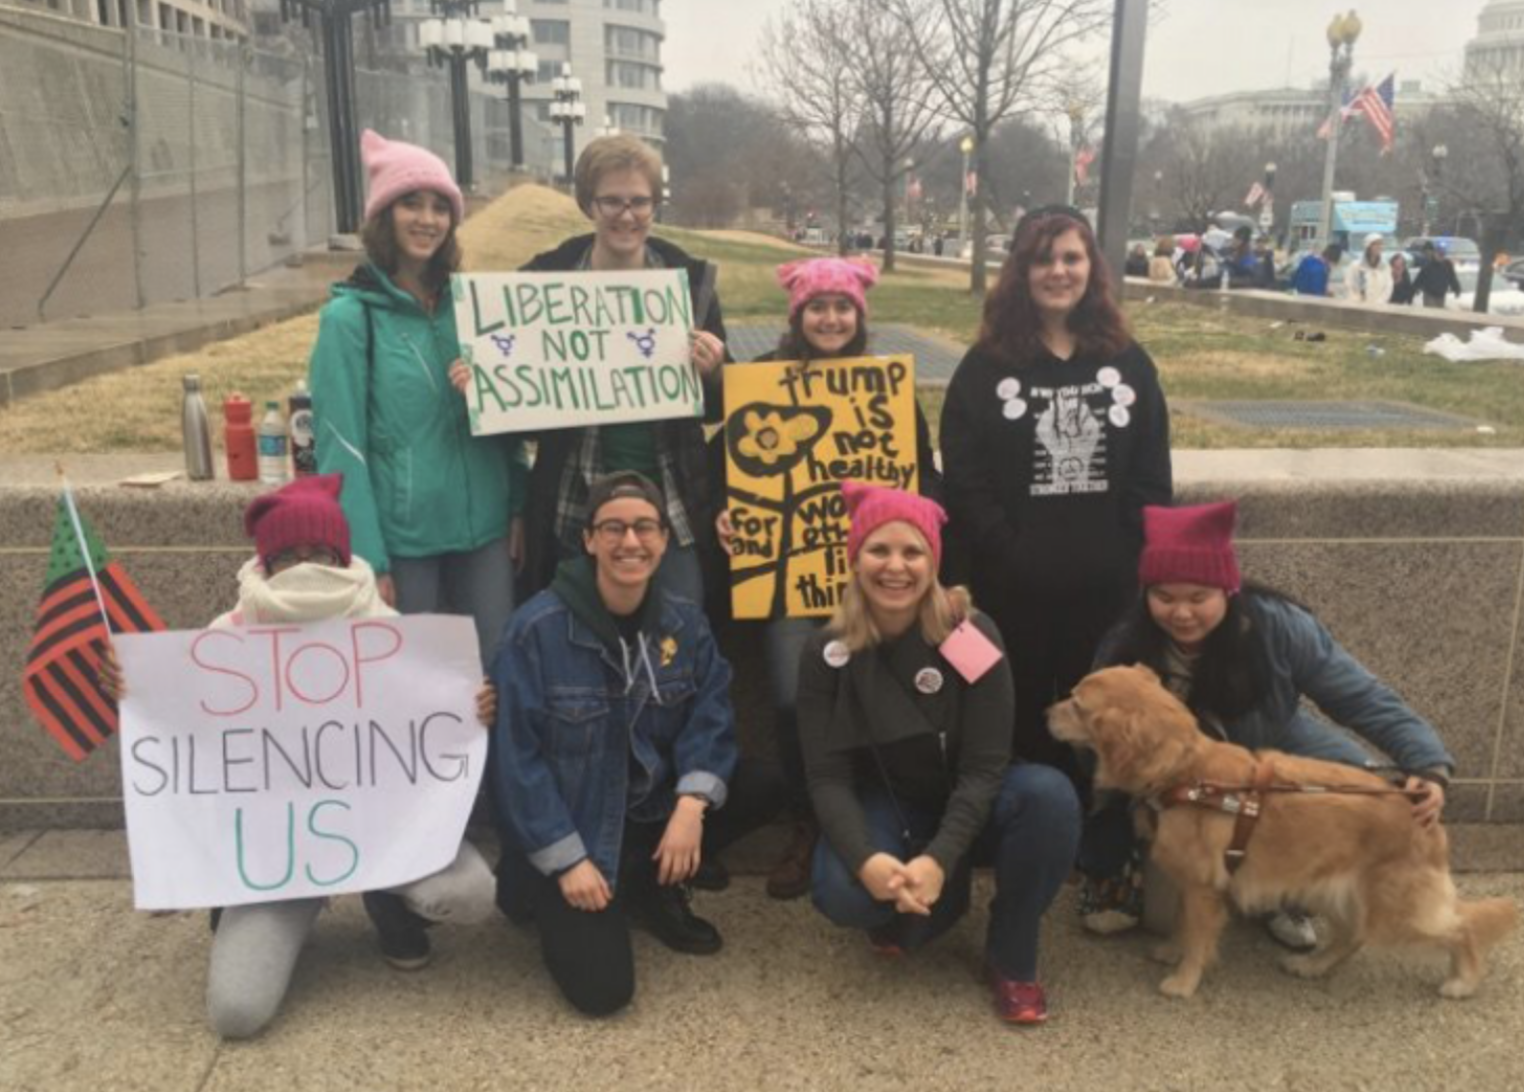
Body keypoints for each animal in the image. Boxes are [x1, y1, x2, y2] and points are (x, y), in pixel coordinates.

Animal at [1048, 664, 1511, 999]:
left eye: (1077, 704)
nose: (1044, 712)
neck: (1187, 773)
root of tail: (1422, 811)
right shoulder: (1192, 885)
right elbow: (1182, 925)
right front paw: (1171, 951)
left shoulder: (1202, 887)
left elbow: (1198, 937)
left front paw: (1184, 980)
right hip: (1332, 889)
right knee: (1353, 936)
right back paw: (1313, 965)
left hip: (1396, 909)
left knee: (1462, 926)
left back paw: (1463, 980)